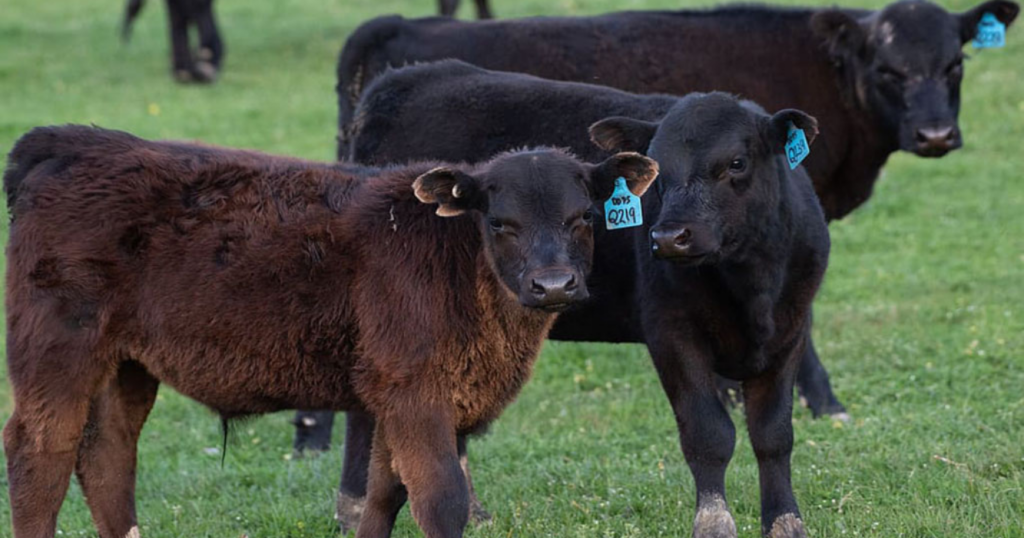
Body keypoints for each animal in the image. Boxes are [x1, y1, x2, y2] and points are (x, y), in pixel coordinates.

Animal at [1, 124, 657, 538]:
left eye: (583, 216)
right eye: (500, 222)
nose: (554, 284)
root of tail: (70, 142)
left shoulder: (395, 396)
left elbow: (385, 494)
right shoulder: (415, 392)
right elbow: (441, 499)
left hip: (127, 365)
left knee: (107, 453)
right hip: (57, 352)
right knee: (41, 452)